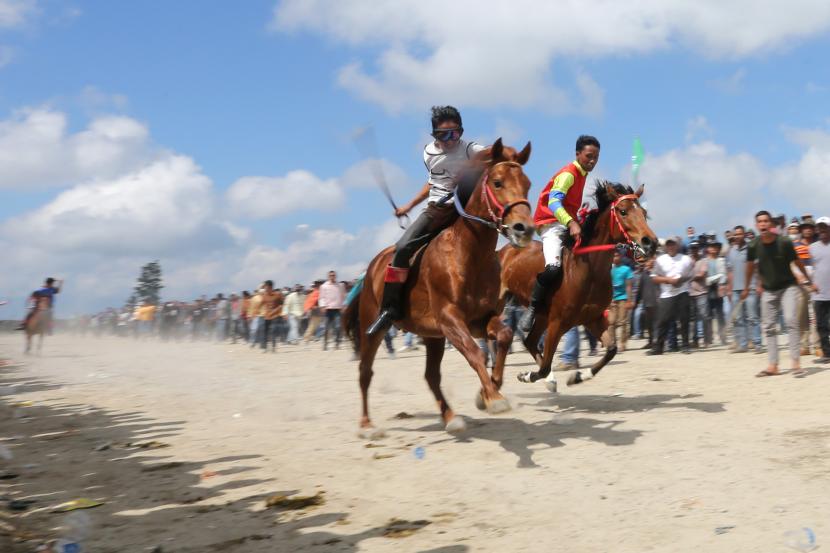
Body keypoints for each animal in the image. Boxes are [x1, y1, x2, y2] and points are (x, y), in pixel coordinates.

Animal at [342, 139, 532, 440]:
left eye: (527, 184)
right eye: (498, 182)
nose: (524, 228)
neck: (469, 253)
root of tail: (370, 269)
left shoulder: (480, 319)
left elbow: (504, 335)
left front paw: (487, 392)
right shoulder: (449, 318)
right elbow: (476, 353)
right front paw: (493, 398)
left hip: (431, 336)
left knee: (431, 376)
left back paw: (451, 418)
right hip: (372, 327)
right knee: (365, 372)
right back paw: (367, 426)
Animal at [500, 181, 656, 388]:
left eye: (644, 213)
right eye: (623, 211)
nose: (651, 243)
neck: (588, 272)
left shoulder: (592, 318)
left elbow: (612, 349)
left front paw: (579, 376)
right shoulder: (557, 323)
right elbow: (544, 367)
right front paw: (527, 375)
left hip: (542, 316)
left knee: (530, 342)